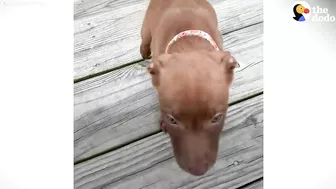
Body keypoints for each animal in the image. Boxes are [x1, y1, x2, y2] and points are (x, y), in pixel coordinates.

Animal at [140, 0, 238, 176]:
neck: (190, 45)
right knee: (144, 38)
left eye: (216, 118)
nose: (198, 171)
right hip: (147, 24)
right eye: (172, 119)